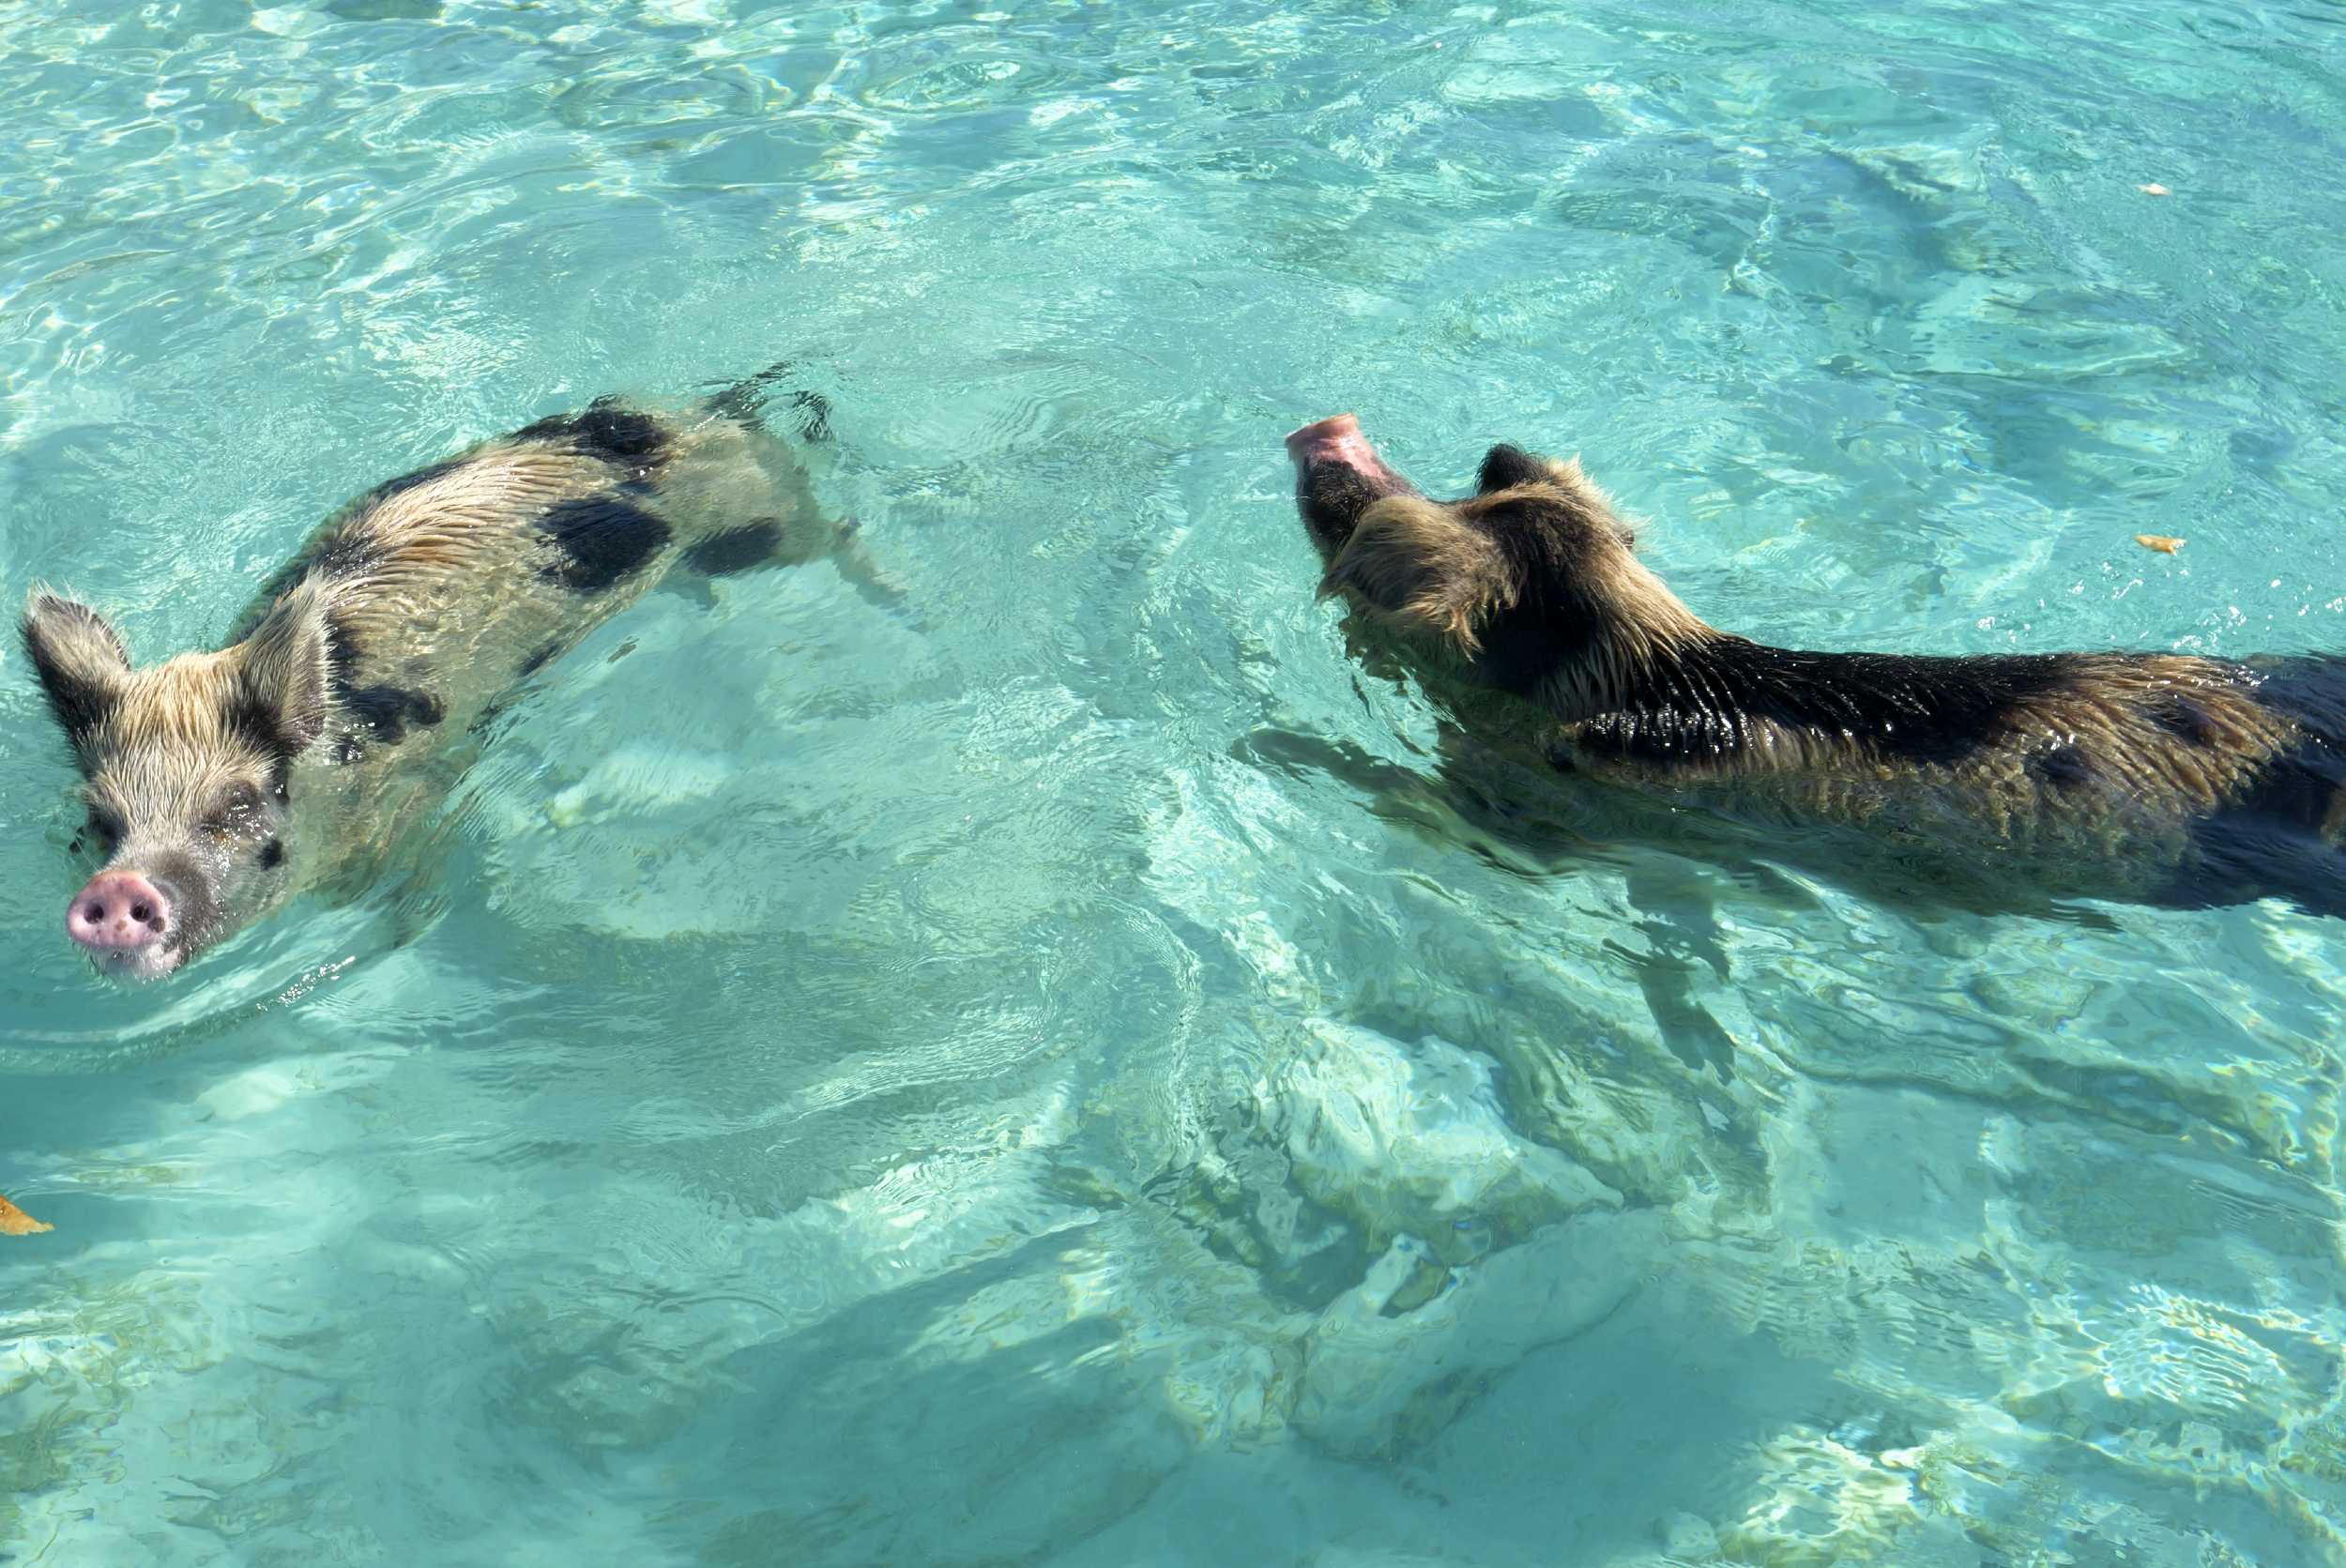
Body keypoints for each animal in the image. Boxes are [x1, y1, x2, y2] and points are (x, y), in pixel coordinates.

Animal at [23, 381, 870, 981]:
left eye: (236, 803)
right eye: (100, 818)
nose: (115, 889)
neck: (343, 762)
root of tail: (707, 412)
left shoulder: (414, 807)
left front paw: (406, 934)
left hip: (759, 524)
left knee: (838, 535)